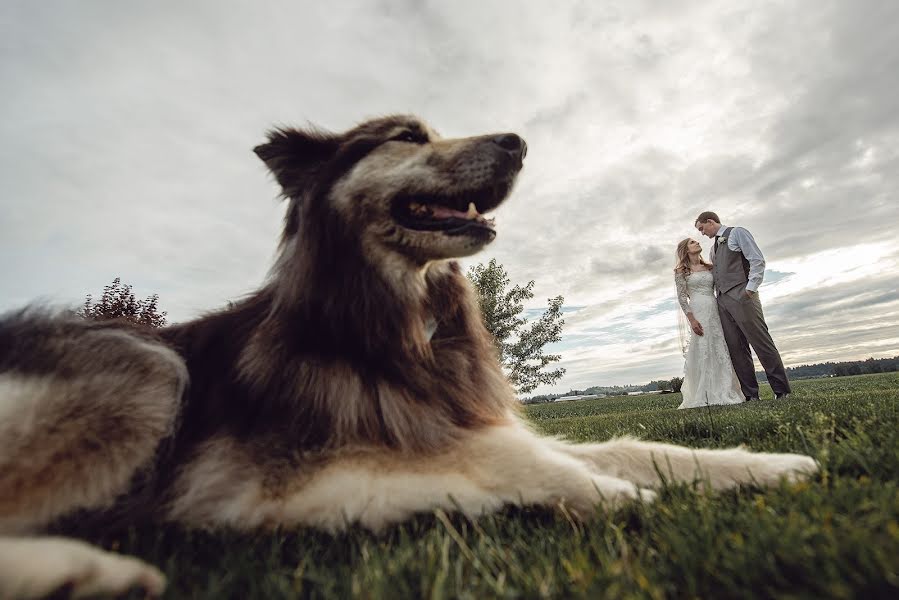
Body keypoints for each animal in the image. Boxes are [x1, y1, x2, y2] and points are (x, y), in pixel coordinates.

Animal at [0, 116, 816, 596]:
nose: (519, 143)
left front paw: (760, 467)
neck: (399, 325)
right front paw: (615, 496)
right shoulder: (248, 486)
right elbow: (514, 460)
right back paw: (80, 569)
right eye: (405, 137)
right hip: (144, 370)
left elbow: (632, 447)